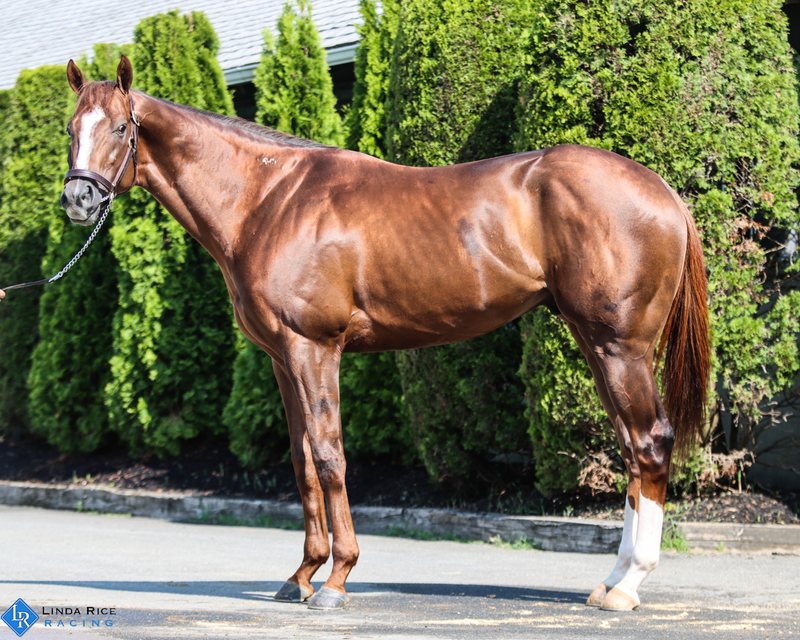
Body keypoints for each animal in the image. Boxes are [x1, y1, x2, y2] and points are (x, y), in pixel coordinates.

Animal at [60, 56, 710, 612]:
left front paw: (336, 580)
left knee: (650, 441)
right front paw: (301, 575)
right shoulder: (282, 359)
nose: (77, 198)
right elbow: (301, 460)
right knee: (630, 447)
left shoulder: (315, 349)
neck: (268, 200)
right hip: (595, 343)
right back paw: (609, 581)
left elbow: (329, 455)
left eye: (120, 127)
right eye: (71, 128)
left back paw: (627, 585)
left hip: (620, 346)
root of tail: (663, 193)